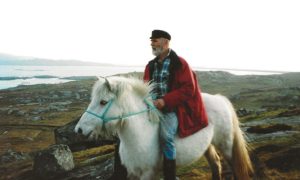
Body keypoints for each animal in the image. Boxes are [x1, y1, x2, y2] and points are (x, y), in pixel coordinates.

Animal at [75, 76, 253, 180]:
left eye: (103, 102)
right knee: (216, 164)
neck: (140, 134)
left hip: (227, 145)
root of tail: (220, 99)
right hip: (207, 146)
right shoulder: (132, 173)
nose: (79, 130)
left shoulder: (148, 173)